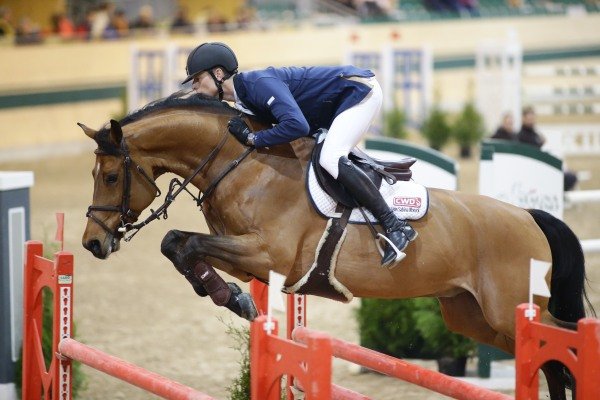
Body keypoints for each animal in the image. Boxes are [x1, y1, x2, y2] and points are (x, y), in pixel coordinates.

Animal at [81, 92, 596, 398]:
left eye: (111, 177)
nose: (91, 244)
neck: (243, 164)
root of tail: (528, 217)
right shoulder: (247, 255)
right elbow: (179, 246)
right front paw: (235, 298)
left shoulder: (266, 254)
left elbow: (181, 244)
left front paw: (237, 300)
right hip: (471, 315)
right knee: (550, 358)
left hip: (509, 308)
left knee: (561, 342)